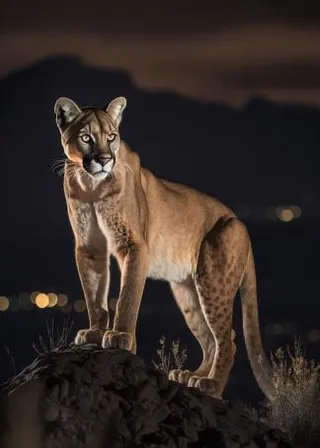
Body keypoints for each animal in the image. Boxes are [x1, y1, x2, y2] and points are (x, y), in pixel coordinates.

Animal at [53, 97, 274, 400]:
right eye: (86, 138)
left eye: (111, 137)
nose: (104, 160)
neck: (91, 186)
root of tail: (240, 222)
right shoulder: (89, 247)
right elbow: (94, 295)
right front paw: (96, 332)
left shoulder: (133, 244)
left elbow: (127, 296)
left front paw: (120, 337)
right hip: (187, 291)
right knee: (213, 338)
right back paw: (192, 376)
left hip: (213, 280)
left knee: (227, 338)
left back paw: (211, 385)